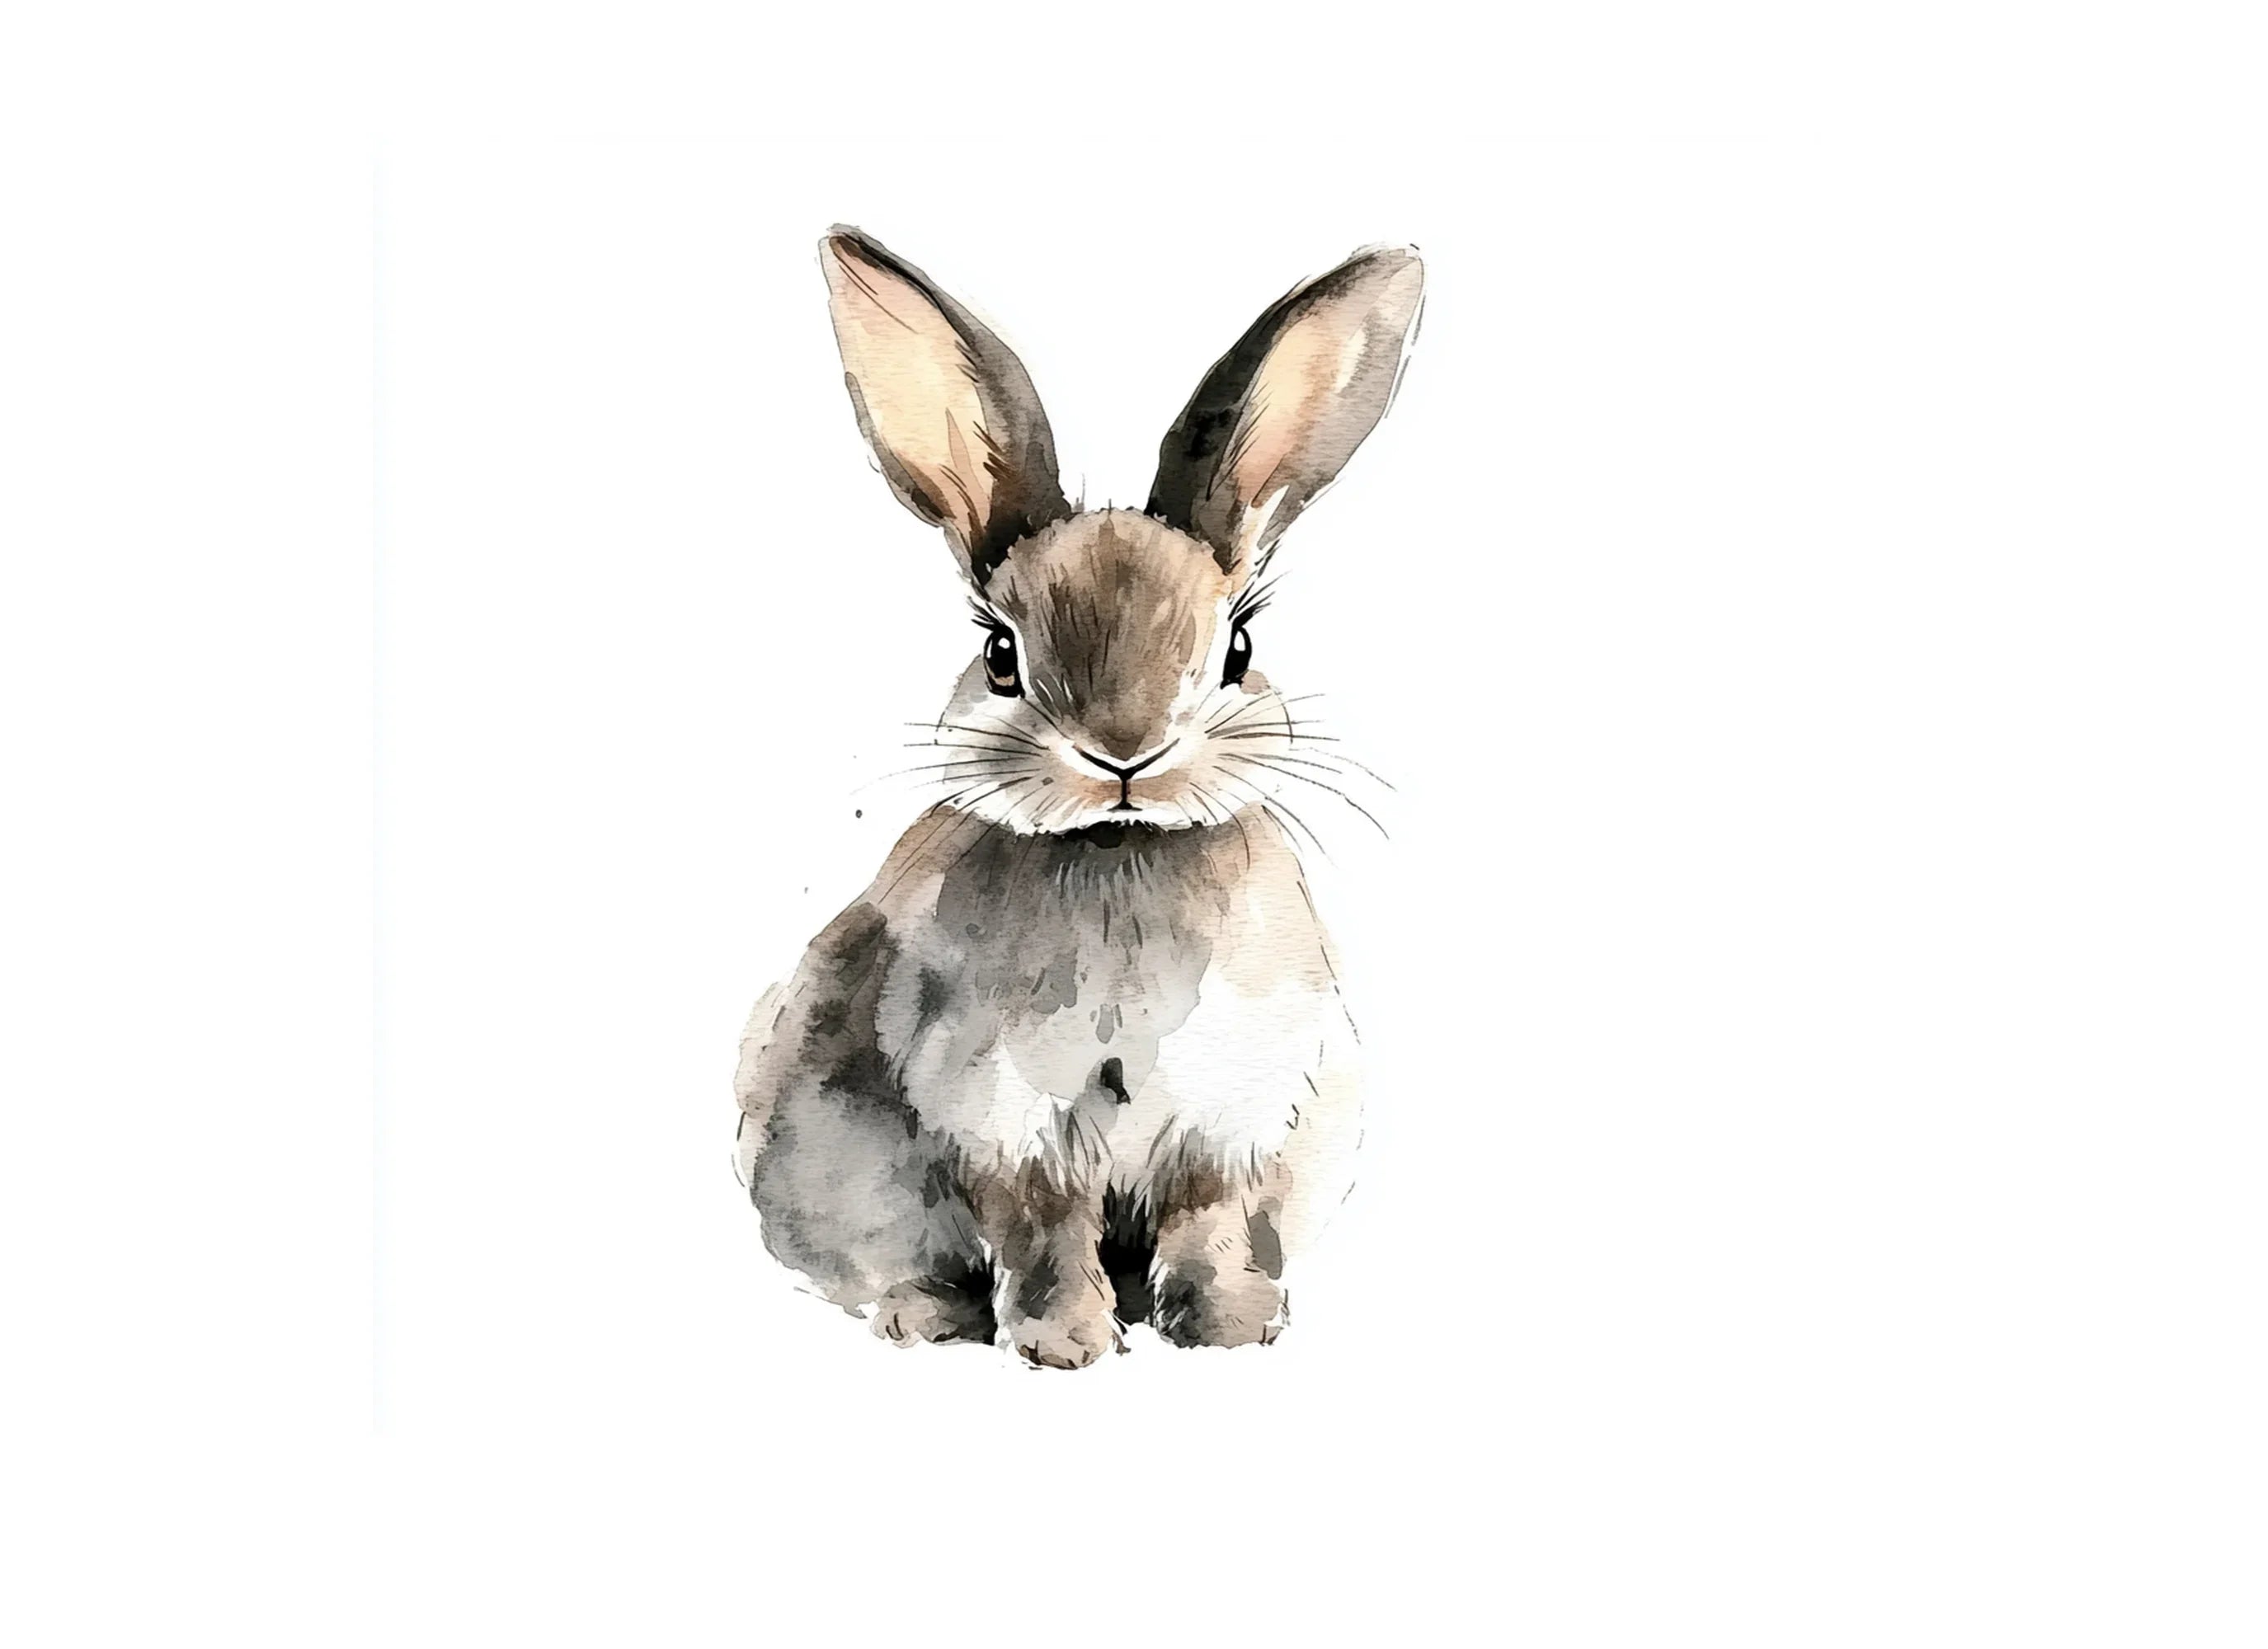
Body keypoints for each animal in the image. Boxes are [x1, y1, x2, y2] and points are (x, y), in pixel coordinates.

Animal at [734, 228, 1423, 1368]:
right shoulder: (1006, 1122)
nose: (1124, 752)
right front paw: (1062, 1344)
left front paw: (1226, 1330)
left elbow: (1203, 1224)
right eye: (999, 655)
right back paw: (928, 1316)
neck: (1116, 850)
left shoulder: (1226, 1119)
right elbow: (1044, 1234)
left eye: (1238, 647)